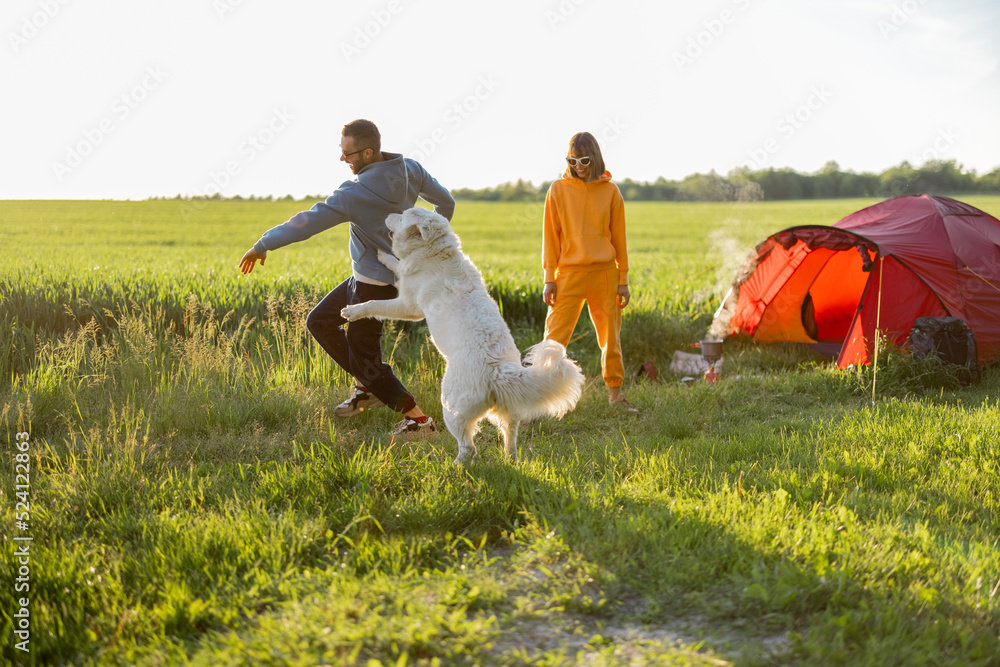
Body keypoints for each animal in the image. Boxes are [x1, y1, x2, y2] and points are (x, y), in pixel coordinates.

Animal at [342, 209, 584, 464]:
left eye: (403, 216)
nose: (389, 213)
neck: (436, 253)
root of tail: (498, 371)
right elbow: (397, 264)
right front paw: (384, 256)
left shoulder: (408, 306)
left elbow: (375, 304)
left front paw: (353, 311)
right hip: (505, 411)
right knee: (510, 434)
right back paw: (510, 459)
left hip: (451, 407)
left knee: (468, 447)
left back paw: (452, 465)